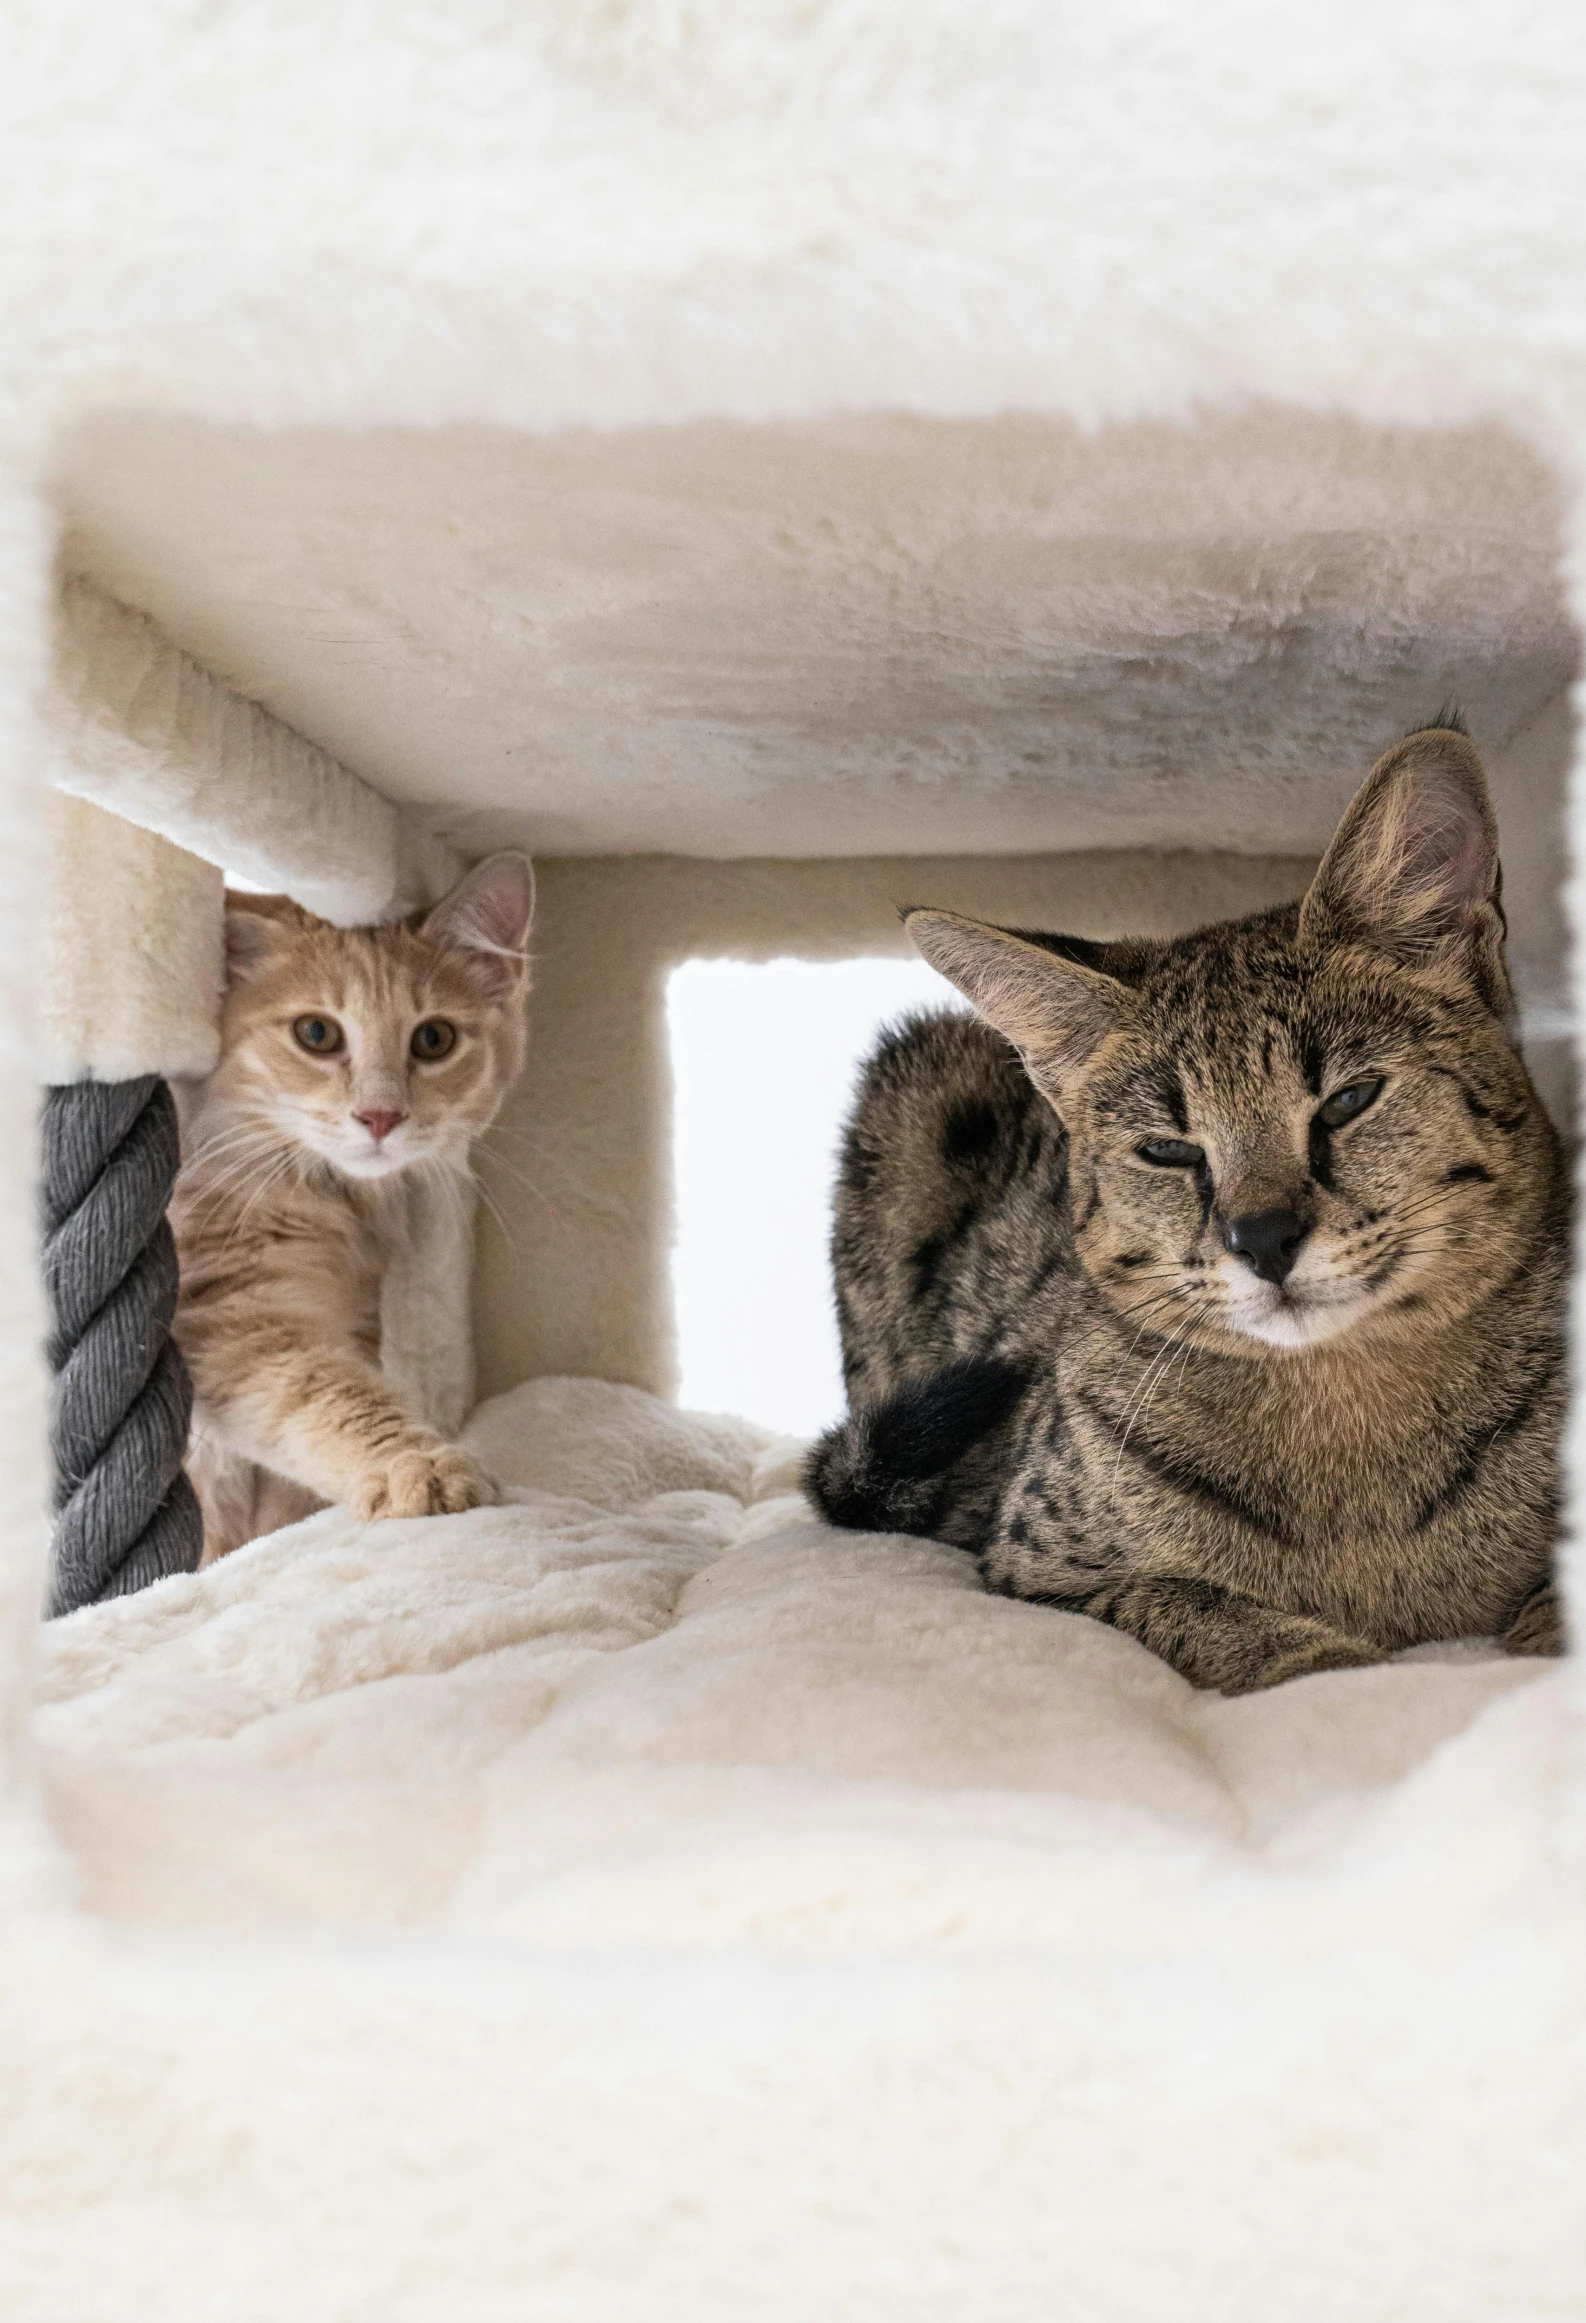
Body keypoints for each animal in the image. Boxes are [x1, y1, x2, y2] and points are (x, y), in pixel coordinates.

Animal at [170, 854, 534, 1561]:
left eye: (434, 1040)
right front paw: (417, 1468)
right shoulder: (230, 1316)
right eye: (316, 1034)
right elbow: (330, 1401)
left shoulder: (355, 1317)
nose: (380, 1117)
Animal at [812, 724, 1569, 1691]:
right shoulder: (1035, 1573)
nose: (1263, 1237)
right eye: (1169, 1149)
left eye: (1348, 1100)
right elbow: (1191, 1605)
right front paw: (1328, 1660)